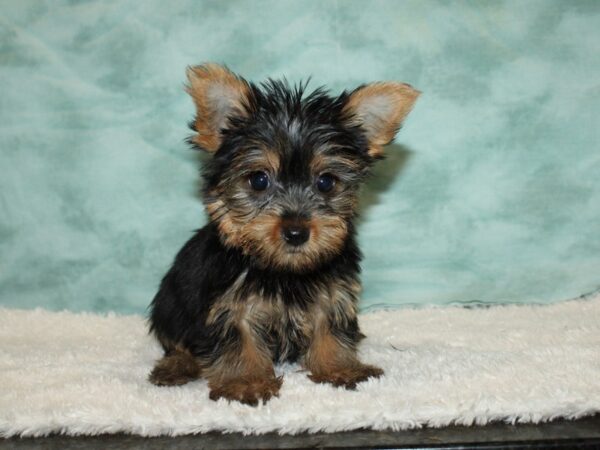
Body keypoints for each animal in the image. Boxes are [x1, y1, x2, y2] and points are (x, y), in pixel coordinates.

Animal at [148, 62, 420, 404]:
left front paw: (339, 367)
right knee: (175, 340)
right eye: (259, 180)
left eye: (326, 182)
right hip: (169, 302)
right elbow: (238, 341)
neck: (284, 270)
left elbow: (332, 328)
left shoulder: (334, 293)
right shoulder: (227, 306)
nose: (296, 231)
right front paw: (245, 381)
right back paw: (176, 365)